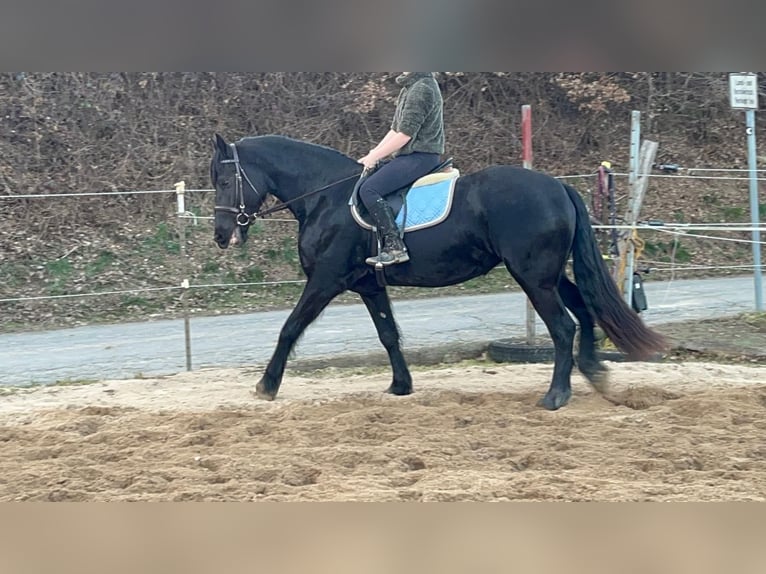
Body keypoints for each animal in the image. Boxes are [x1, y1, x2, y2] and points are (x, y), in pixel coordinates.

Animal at [210, 133, 666, 410]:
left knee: (562, 326)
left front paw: (266, 386)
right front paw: (401, 386)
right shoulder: (368, 286)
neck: (326, 197)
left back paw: (556, 395)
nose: (221, 235)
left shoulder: (325, 281)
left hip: (533, 276)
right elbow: (389, 334)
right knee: (583, 310)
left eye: (223, 180)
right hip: (548, 274)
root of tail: (558, 186)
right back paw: (595, 374)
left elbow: (289, 328)